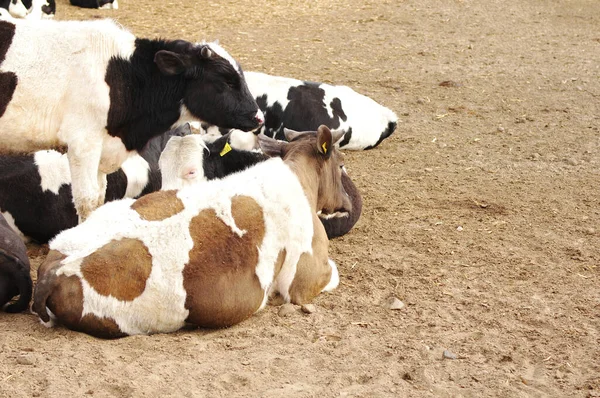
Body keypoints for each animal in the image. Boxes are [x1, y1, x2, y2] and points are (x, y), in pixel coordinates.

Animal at [31, 126, 352, 338]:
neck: (299, 181)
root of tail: (54, 270)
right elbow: (331, 275)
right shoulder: (302, 281)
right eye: (341, 164)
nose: (347, 202)